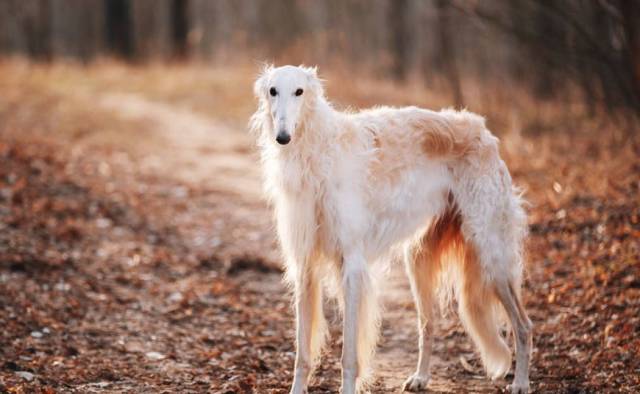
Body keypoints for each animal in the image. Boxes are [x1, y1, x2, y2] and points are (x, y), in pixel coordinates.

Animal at [248, 65, 532, 394]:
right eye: (273, 91)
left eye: (299, 91)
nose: (283, 137)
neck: (316, 154)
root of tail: (484, 132)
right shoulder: (305, 264)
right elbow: (302, 353)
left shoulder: (351, 264)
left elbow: (349, 355)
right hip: (419, 259)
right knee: (428, 323)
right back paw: (420, 377)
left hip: (491, 254)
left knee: (524, 325)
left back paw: (521, 382)